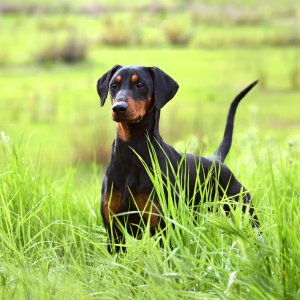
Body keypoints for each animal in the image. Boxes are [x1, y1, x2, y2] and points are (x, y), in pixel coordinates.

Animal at [96, 65, 258, 253]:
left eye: (140, 84)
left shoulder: (162, 229)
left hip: (246, 213)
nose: (119, 108)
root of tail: (215, 160)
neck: (132, 152)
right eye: (114, 85)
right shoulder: (114, 233)